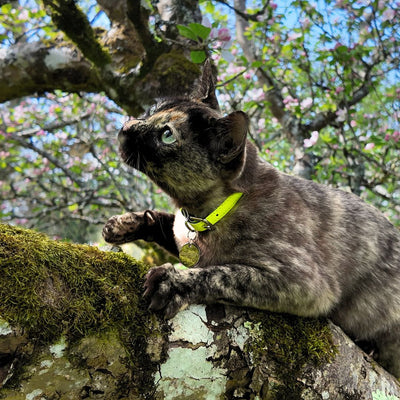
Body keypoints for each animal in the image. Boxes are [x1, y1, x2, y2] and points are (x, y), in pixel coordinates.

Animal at [102, 60, 400, 378]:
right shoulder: (180, 232)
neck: (204, 216)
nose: (125, 128)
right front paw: (121, 224)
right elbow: (162, 220)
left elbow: (221, 275)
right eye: (154, 107)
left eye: (167, 135)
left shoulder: (304, 282)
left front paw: (173, 282)